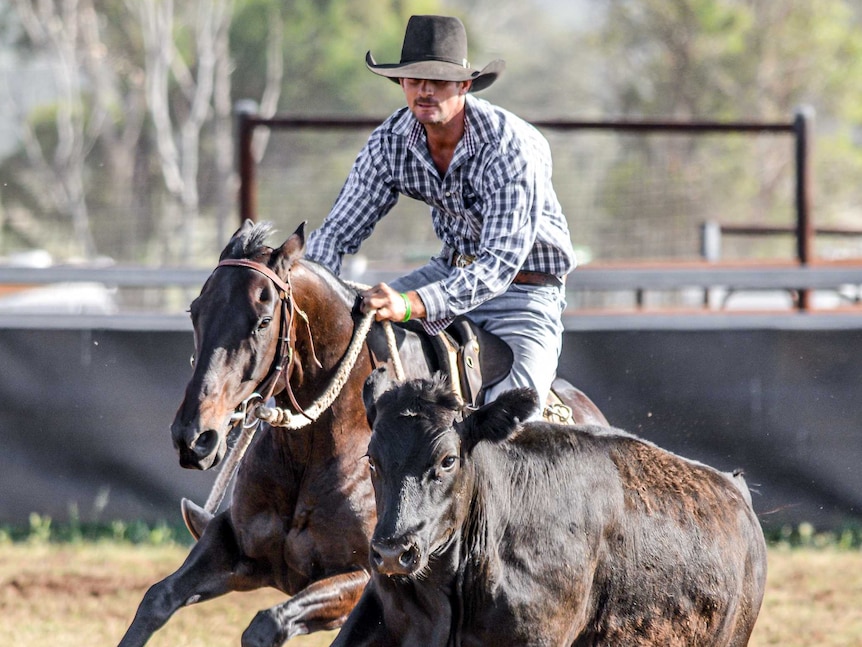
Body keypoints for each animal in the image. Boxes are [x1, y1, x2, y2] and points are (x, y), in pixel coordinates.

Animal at [118, 220, 612, 644]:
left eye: (262, 321)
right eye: (195, 311)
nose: (194, 436)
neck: (316, 448)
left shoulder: (367, 574)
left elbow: (268, 623)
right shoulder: (236, 549)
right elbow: (156, 600)